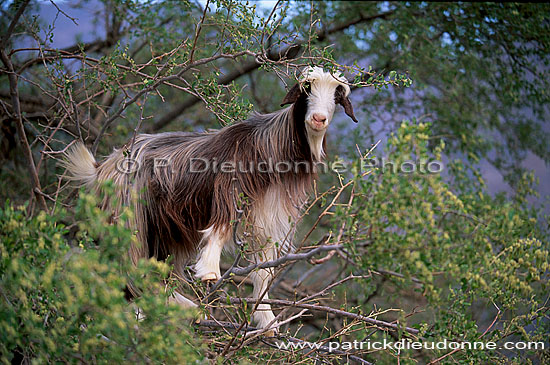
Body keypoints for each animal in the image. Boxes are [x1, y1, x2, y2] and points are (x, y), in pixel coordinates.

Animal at [62, 65, 360, 330]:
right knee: (130, 269)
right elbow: (220, 225)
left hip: (163, 231)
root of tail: (100, 168)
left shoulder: (270, 215)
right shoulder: (230, 187)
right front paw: (209, 271)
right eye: (306, 89)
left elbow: (263, 271)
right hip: (130, 217)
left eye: (337, 96)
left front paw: (267, 321)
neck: (270, 147)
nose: (318, 119)